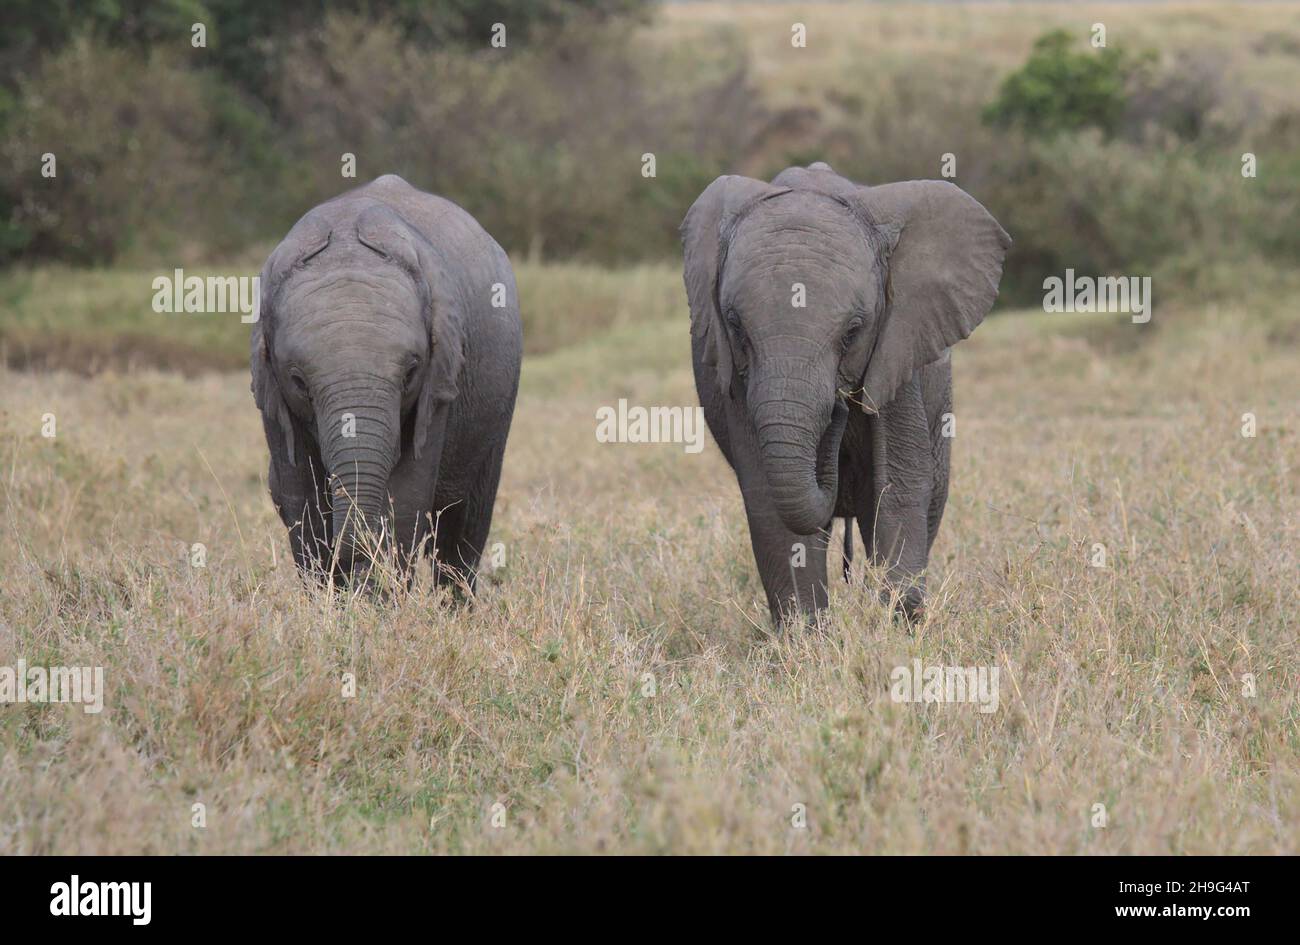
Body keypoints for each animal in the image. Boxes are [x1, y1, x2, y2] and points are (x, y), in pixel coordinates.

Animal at [250, 175, 520, 592]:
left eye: (410, 372)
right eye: (298, 381)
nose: (350, 560)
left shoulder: (439, 380)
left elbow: (408, 496)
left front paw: (376, 599)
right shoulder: (273, 394)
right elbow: (301, 495)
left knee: (463, 528)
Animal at [686, 160, 1008, 629]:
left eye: (854, 330)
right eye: (735, 325)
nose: (840, 404)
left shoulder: (899, 345)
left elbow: (900, 485)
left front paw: (898, 626)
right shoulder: (737, 381)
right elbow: (769, 503)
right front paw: (805, 638)